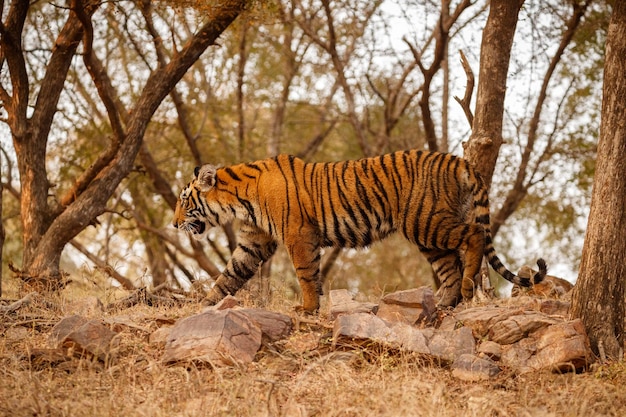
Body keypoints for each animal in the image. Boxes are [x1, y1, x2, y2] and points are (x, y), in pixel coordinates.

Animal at [173, 150, 544, 312]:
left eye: (183, 200)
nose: (174, 224)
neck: (238, 199)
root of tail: (460, 160)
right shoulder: (254, 241)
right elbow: (229, 275)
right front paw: (204, 305)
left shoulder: (297, 234)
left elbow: (305, 274)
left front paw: (308, 308)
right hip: (428, 233)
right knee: (450, 264)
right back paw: (444, 302)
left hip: (424, 222)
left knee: (474, 236)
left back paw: (466, 288)